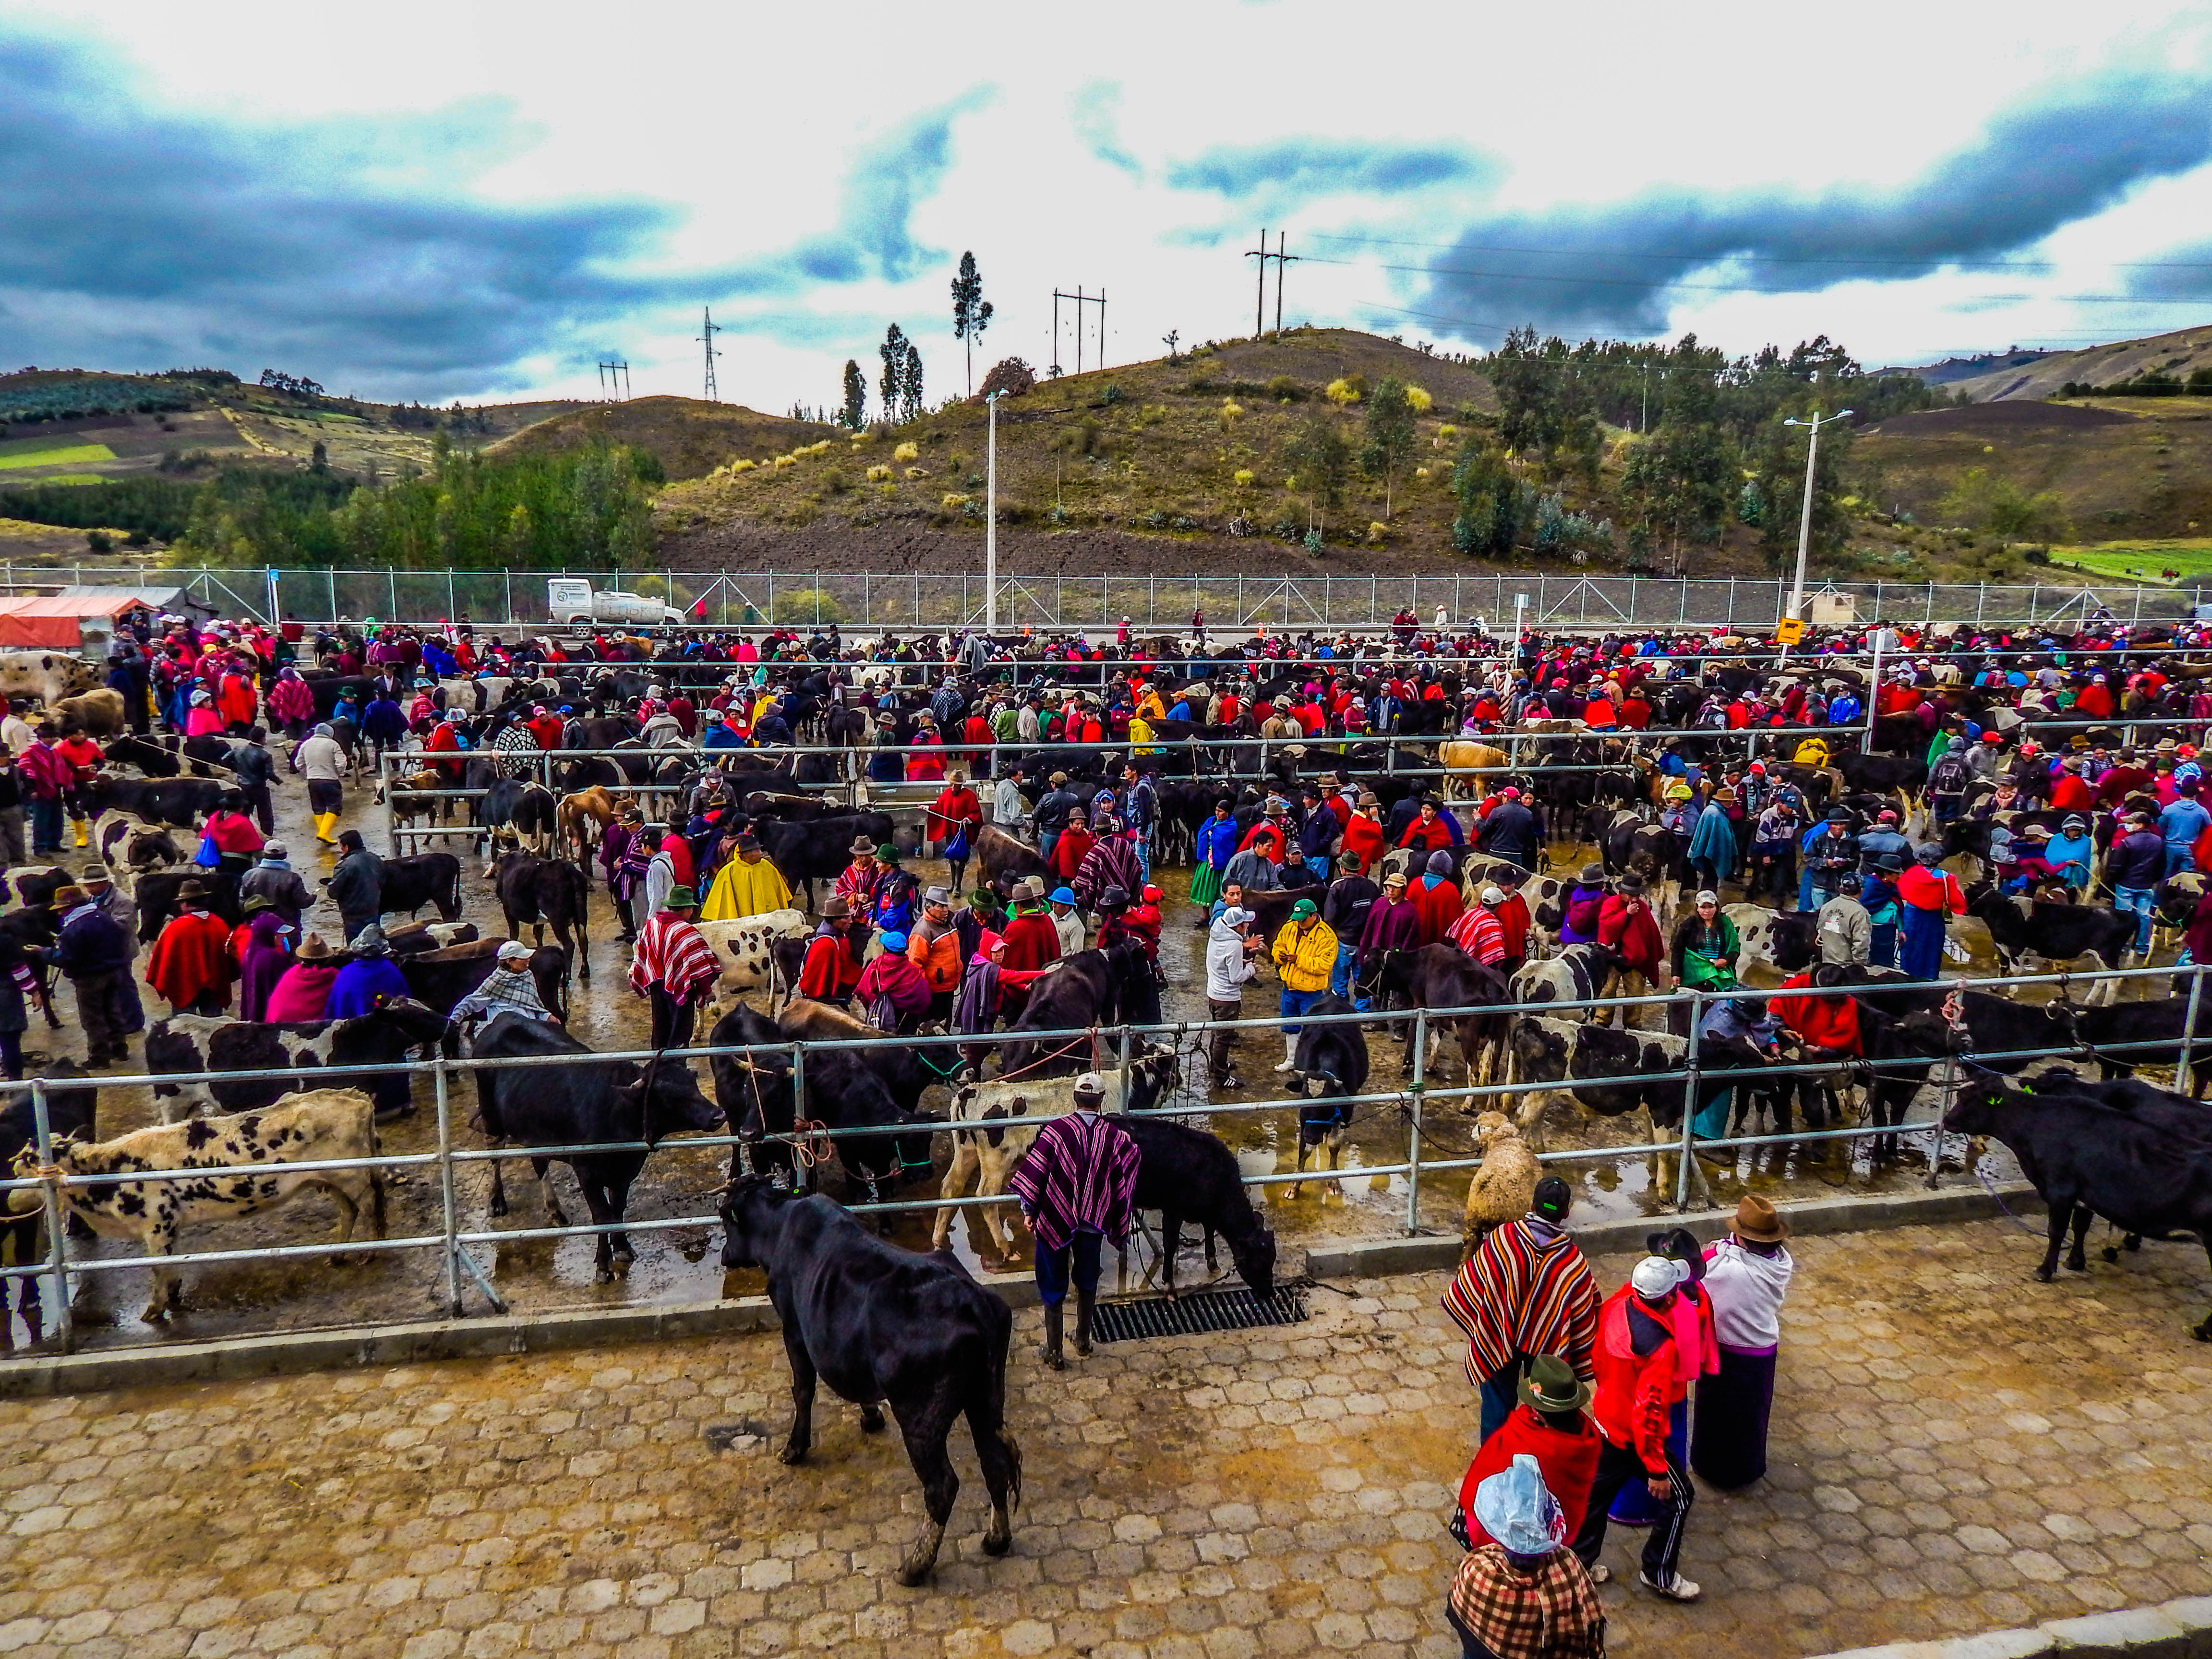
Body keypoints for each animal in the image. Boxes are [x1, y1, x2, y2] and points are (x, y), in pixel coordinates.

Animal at [7, 1089, 384, 1323]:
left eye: (26, 1163)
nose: (9, 1196)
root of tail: (355, 1096)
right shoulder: (170, 1227)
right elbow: (172, 1265)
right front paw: (174, 1296)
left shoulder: (157, 1227)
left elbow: (158, 1269)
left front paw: (154, 1310)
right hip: (330, 1180)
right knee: (349, 1210)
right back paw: (338, 1255)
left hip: (353, 1175)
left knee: (369, 1206)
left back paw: (370, 1253)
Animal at [470, 1012, 723, 1278]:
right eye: (668, 1094)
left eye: (692, 1082)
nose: (718, 1115)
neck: (616, 1111)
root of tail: (504, 1017)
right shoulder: (587, 1174)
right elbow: (602, 1216)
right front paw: (604, 1264)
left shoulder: (624, 1173)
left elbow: (617, 1210)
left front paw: (622, 1248)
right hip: (492, 1119)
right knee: (495, 1154)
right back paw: (497, 1200)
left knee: (539, 1162)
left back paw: (555, 1210)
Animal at [493, 852, 591, 982]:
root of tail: (569, 871)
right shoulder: (539, 918)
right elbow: (538, 933)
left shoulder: (508, 910)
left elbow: (514, 934)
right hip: (581, 913)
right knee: (583, 940)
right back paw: (584, 972)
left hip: (557, 919)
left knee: (569, 945)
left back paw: (565, 978)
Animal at [714, 1175, 1022, 1587]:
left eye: (726, 1220)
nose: (724, 1256)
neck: (781, 1224)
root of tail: (972, 1300)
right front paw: (871, 1415)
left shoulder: (793, 1329)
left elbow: (803, 1389)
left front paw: (795, 1448)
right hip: (986, 1399)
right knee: (994, 1463)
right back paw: (995, 1539)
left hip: (920, 1418)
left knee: (942, 1486)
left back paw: (915, 1566)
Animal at [1944, 1069, 2212, 1338]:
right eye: (1960, 1094)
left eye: (1969, 1099)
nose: (1946, 1121)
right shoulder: (2084, 1194)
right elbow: (2080, 1225)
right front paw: (2075, 1262)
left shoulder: (2061, 1189)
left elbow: (2056, 1232)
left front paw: (2045, 1271)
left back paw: (2202, 1330)